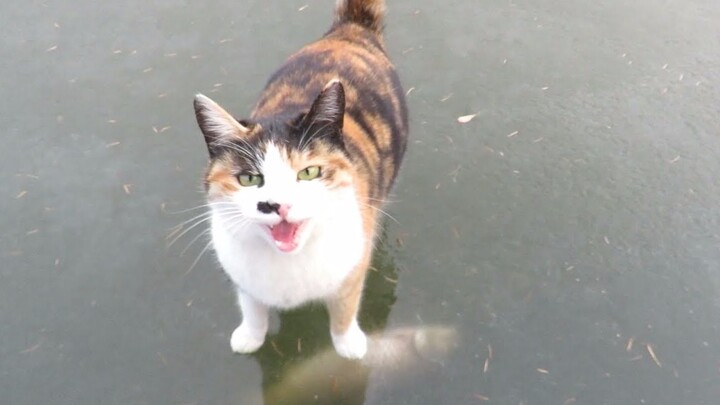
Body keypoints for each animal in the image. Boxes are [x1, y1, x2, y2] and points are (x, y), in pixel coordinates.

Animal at [193, 0, 404, 360]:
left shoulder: (352, 262)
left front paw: (348, 344)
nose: (276, 205)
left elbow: (346, 304)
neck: (288, 262)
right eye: (249, 178)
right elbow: (251, 305)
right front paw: (251, 335)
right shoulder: (243, 275)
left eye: (308, 172)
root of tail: (349, 30)